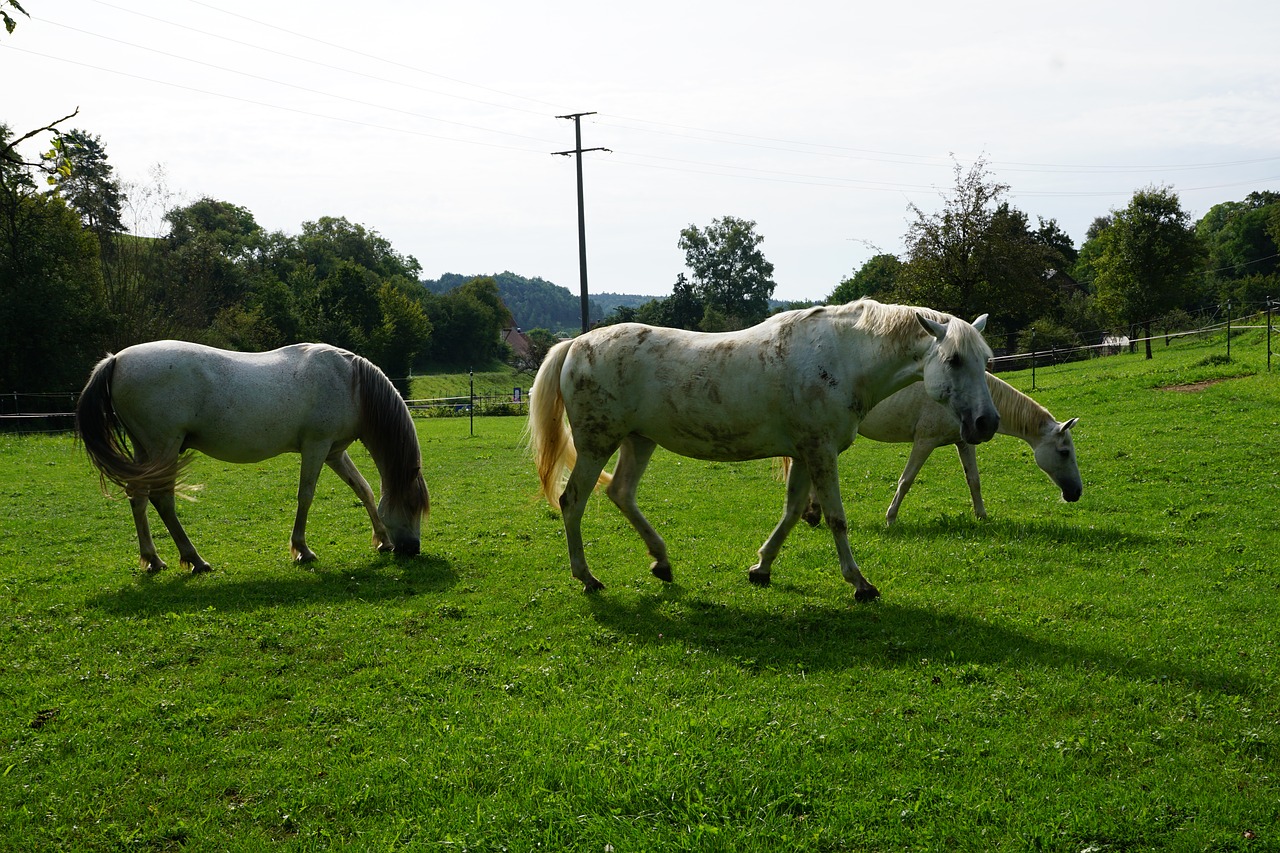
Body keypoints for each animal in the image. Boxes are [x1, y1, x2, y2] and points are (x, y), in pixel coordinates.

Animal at [76, 338, 430, 571]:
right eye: (412, 505)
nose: (412, 549)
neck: (350, 382)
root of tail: (116, 360)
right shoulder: (316, 447)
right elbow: (306, 496)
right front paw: (302, 550)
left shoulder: (334, 452)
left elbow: (364, 490)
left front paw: (382, 540)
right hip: (164, 447)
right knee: (162, 499)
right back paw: (194, 559)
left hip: (145, 450)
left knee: (137, 496)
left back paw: (153, 559)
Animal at [524, 298, 993, 596]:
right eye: (953, 360)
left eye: (985, 360)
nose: (986, 423)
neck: (842, 357)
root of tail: (576, 344)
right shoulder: (820, 451)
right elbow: (836, 518)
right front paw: (860, 583)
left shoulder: (805, 452)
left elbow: (792, 512)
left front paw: (761, 568)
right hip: (597, 444)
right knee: (572, 502)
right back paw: (587, 578)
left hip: (639, 441)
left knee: (620, 493)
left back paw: (662, 561)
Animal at [778, 373, 1080, 525]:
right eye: (1064, 452)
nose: (1076, 493)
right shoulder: (924, 442)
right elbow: (906, 480)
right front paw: (890, 518)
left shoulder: (964, 442)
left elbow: (974, 481)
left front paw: (981, 515)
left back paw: (812, 514)